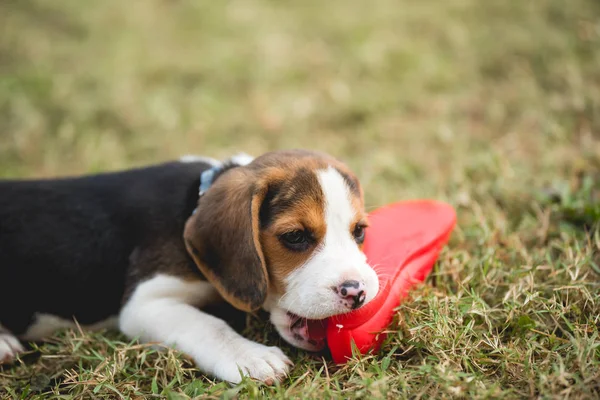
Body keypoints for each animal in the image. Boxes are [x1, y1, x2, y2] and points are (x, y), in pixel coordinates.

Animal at [0, 149, 380, 382]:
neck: (194, 201)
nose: (357, 293)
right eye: (296, 237)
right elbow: (209, 326)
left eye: (359, 231)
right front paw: (250, 356)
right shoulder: (145, 304)